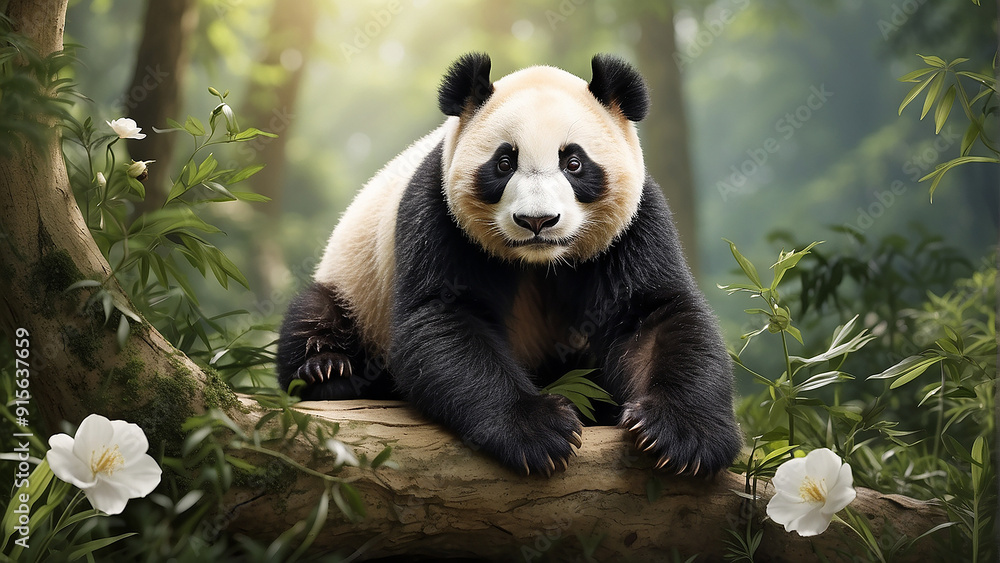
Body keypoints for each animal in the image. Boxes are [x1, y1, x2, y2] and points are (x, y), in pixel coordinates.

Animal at [277, 53, 742, 477]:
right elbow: (445, 318)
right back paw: (326, 368)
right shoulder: (438, 213)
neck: (540, 261)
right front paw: (539, 430)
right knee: (314, 313)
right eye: (504, 163)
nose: (537, 221)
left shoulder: (633, 224)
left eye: (573, 162)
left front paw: (680, 437)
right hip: (353, 283)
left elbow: (653, 315)